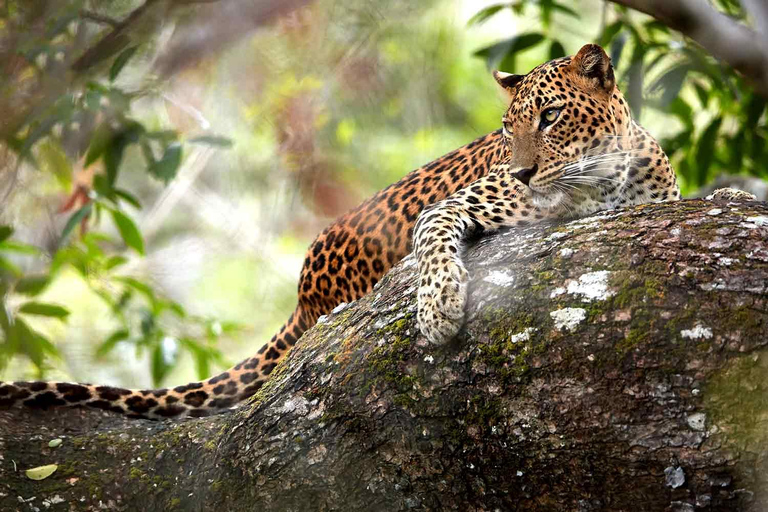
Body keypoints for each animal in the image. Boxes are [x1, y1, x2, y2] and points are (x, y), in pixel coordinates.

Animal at [0, 45, 744, 420]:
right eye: (509, 129)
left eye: (553, 116)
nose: (524, 170)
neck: (605, 178)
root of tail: (303, 295)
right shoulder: (459, 205)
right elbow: (435, 240)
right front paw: (439, 312)